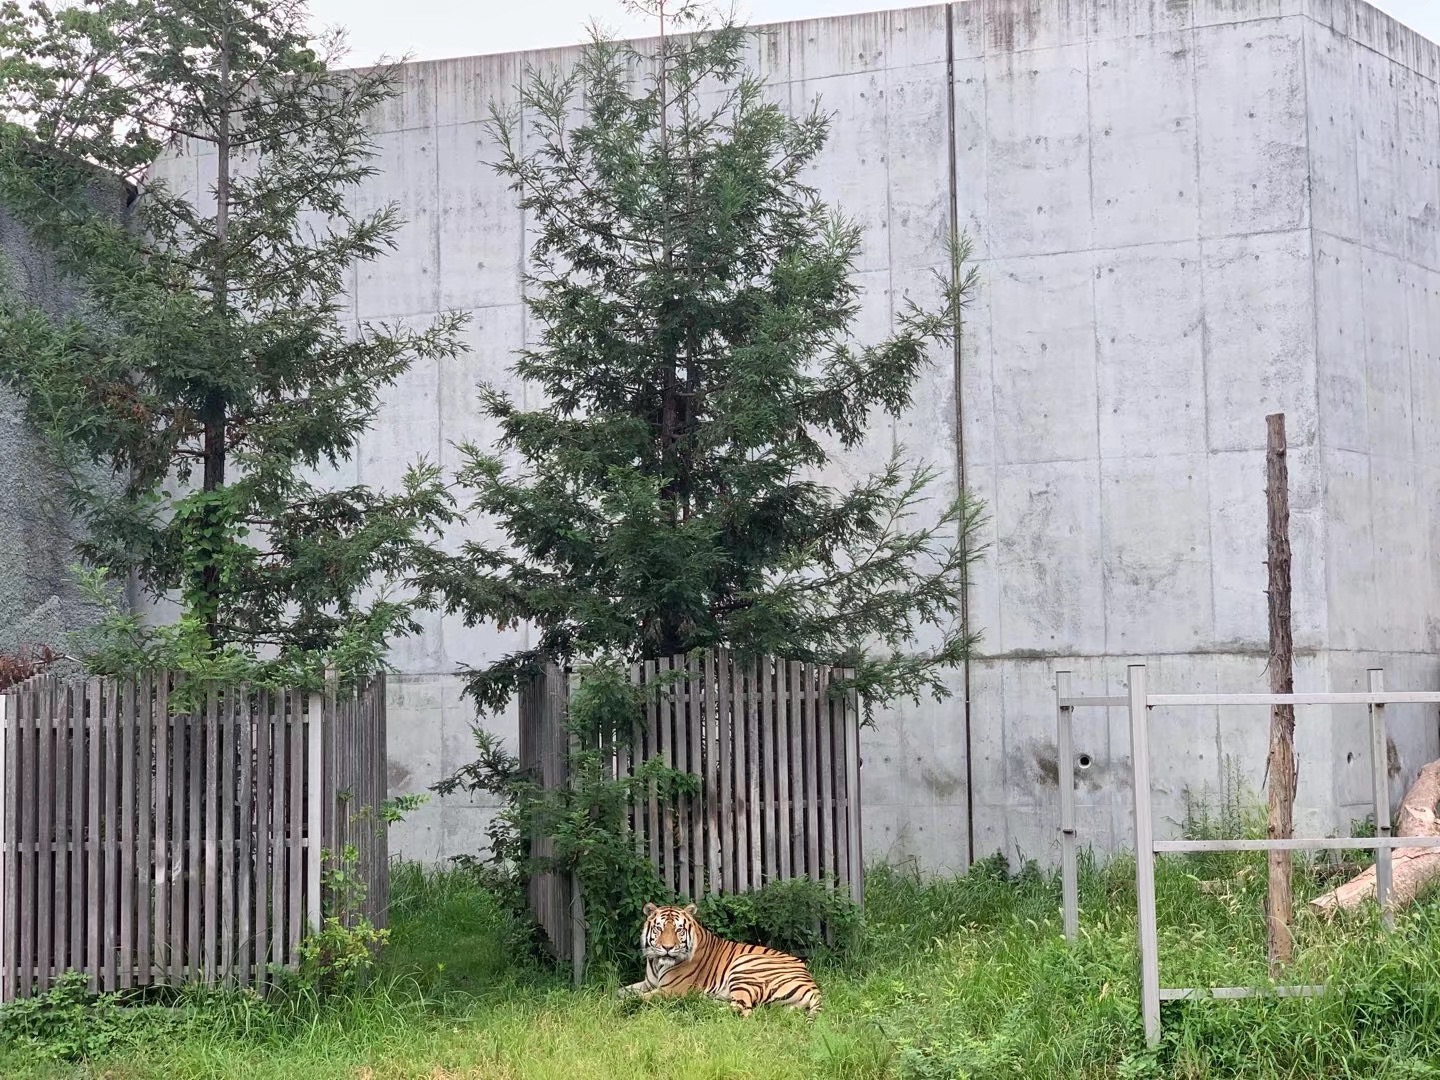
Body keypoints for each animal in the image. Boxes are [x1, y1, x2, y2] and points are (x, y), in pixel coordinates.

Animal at [616, 910, 823, 1019]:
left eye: (679, 930)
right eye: (659, 928)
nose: (667, 948)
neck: (657, 963)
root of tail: (812, 983)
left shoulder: (670, 990)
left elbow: (639, 998)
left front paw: (618, 1004)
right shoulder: (649, 983)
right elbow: (621, 990)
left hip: (744, 966)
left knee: (742, 1009)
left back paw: (698, 1007)